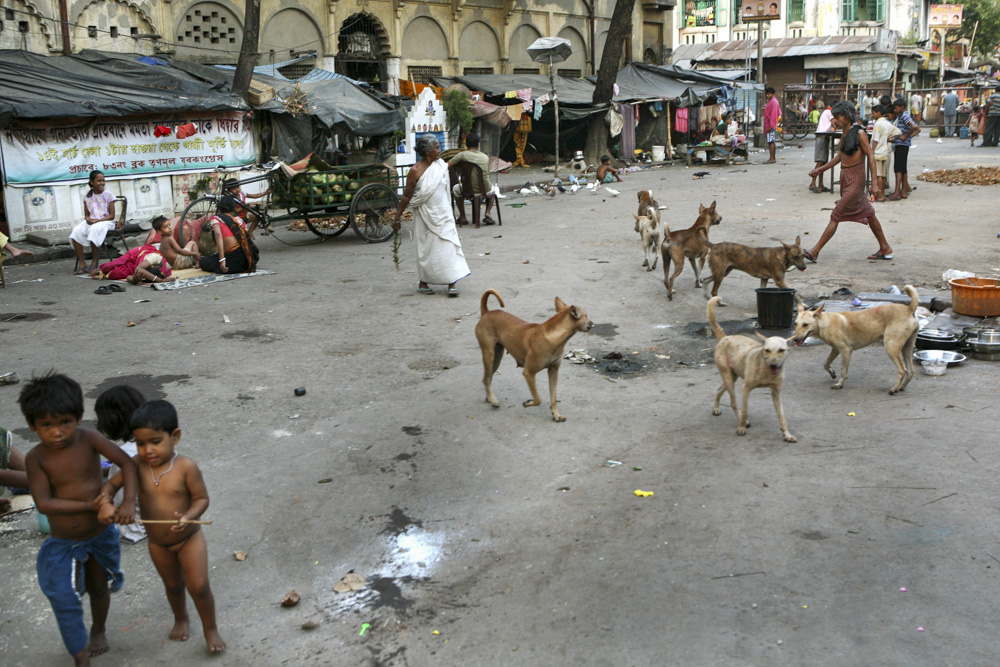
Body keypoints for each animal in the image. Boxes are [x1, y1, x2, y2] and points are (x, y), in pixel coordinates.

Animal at [476, 288, 592, 422]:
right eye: (586, 315)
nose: (592, 323)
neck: (553, 336)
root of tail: (486, 313)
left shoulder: (553, 371)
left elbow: (553, 397)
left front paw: (556, 414)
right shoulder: (529, 373)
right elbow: (538, 399)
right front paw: (528, 403)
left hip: (497, 357)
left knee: (488, 378)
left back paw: (489, 398)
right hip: (489, 356)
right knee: (486, 379)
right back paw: (493, 400)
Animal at [708, 298, 800, 444]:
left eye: (781, 350)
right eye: (767, 350)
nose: (774, 365)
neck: (765, 369)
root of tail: (725, 337)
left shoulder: (776, 393)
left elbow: (782, 416)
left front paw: (787, 434)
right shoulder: (745, 388)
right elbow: (745, 410)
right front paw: (741, 427)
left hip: (732, 376)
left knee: (719, 389)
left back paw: (716, 407)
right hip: (728, 377)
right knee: (733, 403)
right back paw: (741, 420)